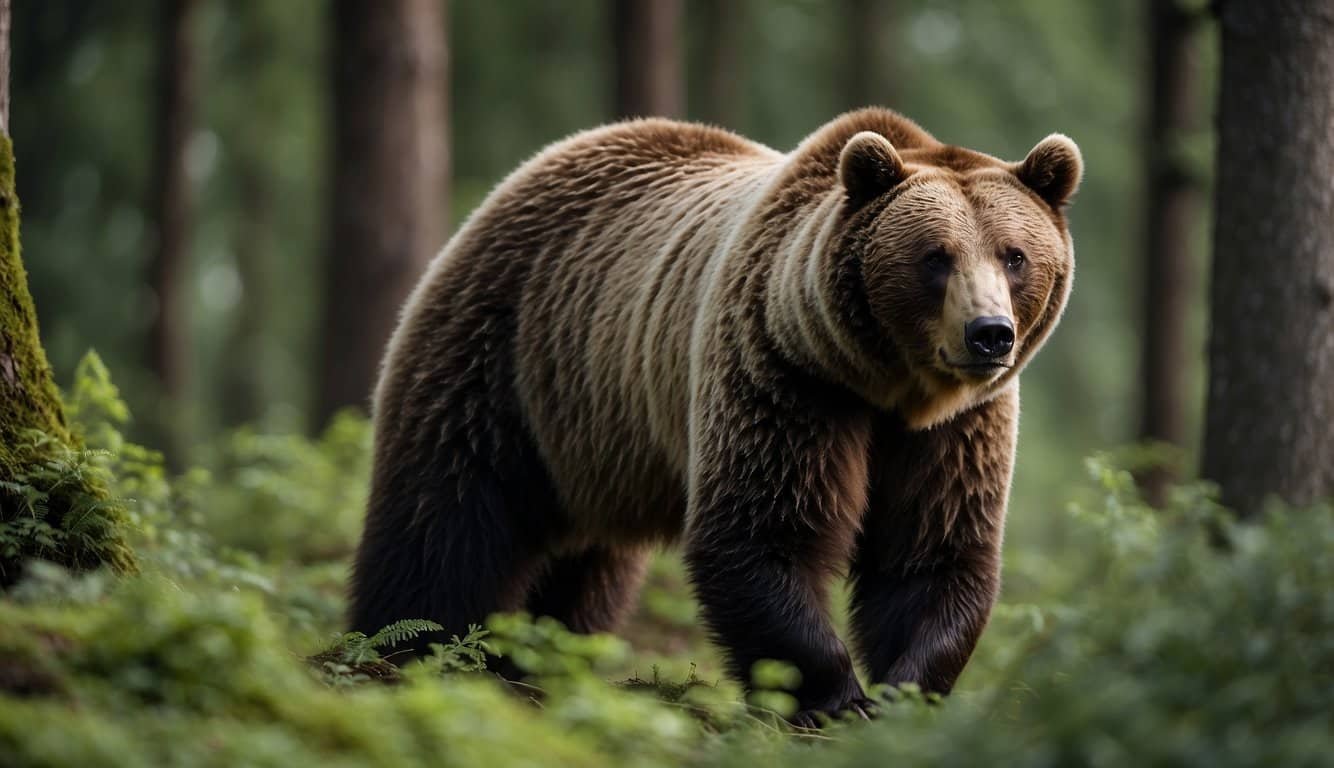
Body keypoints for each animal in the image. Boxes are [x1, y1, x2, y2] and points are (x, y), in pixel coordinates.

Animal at [349, 106, 1077, 725]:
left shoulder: (953, 430)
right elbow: (763, 531)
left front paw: (904, 692)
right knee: (446, 518)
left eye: (1014, 255)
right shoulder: (783, 374)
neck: (884, 382)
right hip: (502, 358)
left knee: (585, 566)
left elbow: (932, 552)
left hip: (599, 436)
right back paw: (406, 648)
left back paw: (541, 651)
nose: (989, 334)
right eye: (936, 257)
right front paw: (834, 697)